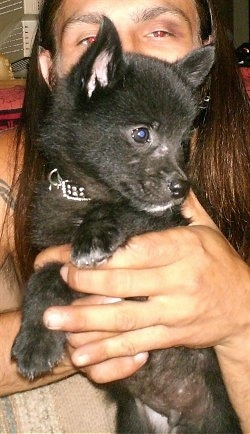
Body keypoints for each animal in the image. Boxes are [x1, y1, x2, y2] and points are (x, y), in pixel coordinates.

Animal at [12, 17, 242, 434]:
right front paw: (36, 339)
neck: (82, 194)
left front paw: (95, 233)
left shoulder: (167, 223)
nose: (182, 187)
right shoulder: (51, 246)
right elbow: (46, 274)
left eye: (185, 140)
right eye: (141, 134)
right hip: (134, 419)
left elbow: (130, 211)